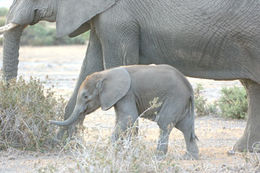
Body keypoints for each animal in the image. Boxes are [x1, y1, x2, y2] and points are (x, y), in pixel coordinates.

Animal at [49, 64, 199, 159]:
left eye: (86, 96)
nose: (49, 121)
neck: (104, 74)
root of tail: (189, 86)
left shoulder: (127, 94)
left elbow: (128, 119)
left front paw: (109, 153)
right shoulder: (119, 96)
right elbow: (122, 120)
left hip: (175, 97)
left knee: (164, 123)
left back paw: (158, 157)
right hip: (180, 101)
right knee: (185, 126)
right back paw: (189, 158)